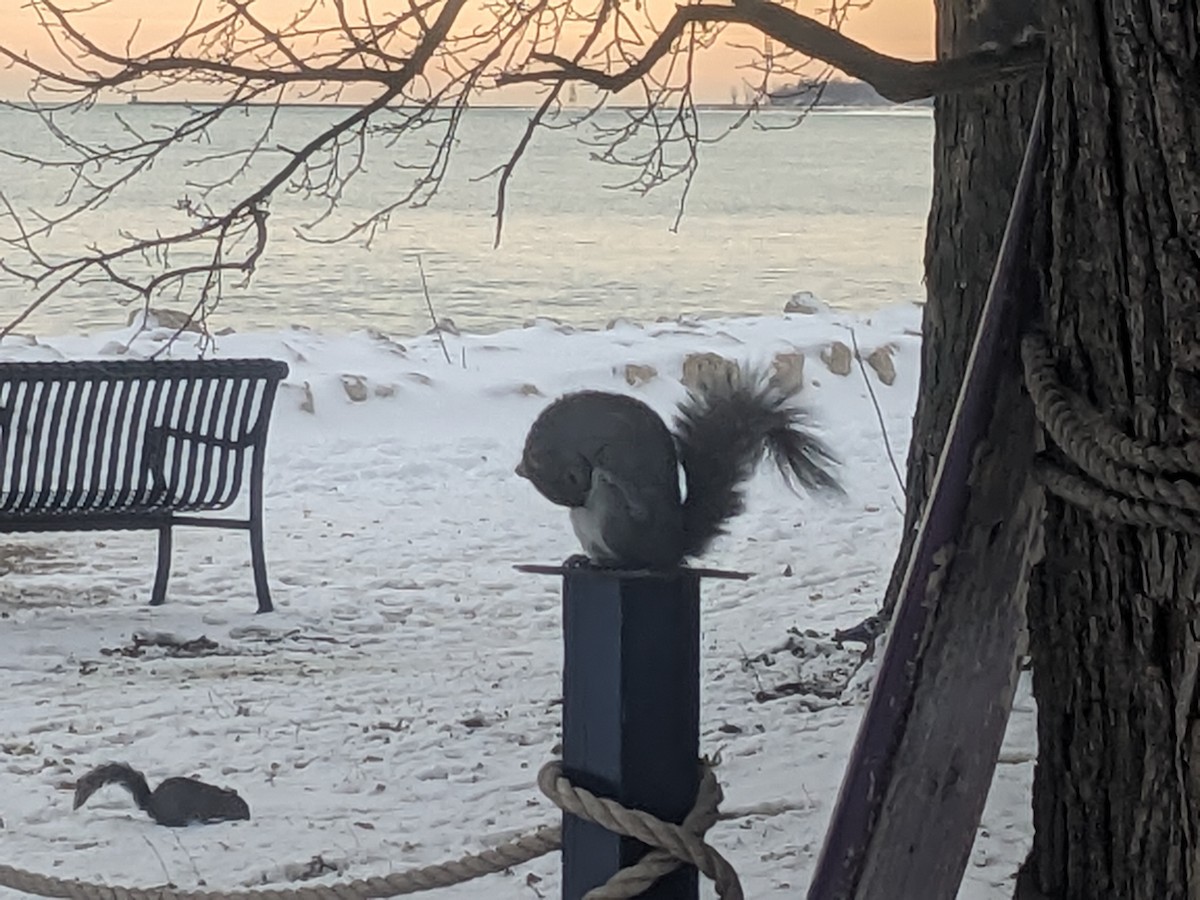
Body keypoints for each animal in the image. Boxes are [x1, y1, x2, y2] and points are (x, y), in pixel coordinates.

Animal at [73, 762, 251, 827]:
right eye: (240, 806)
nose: (248, 817)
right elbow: (205, 817)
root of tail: (150, 803)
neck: (219, 799)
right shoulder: (205, 808)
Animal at [516, 366, 841, 569]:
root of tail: (672, 547)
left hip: (615, 517)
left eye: (563, 481)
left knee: (636, 559)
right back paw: (584, 559)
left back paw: (613, 561)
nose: (579, 500)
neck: (565, 435)